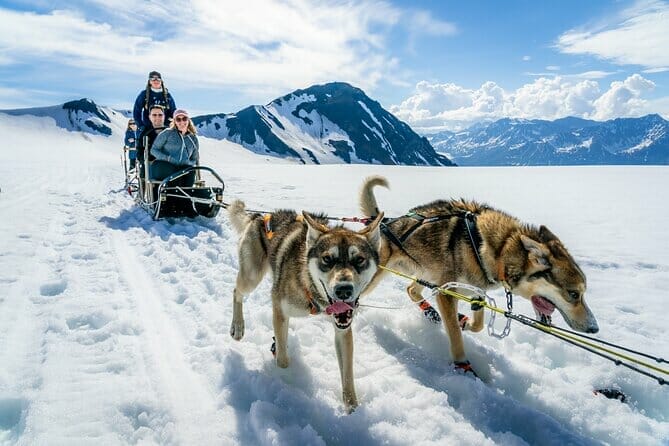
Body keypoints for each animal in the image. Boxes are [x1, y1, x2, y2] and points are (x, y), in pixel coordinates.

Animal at [226, 200, 380, 412]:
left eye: (359, 259)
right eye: (327, 259)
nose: (343, 290)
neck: (309, 287)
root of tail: (259, 216)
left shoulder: (343, 329)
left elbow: (348, 376)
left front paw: (353, 411)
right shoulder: (279, 307)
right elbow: (282, 361)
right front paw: (290, 380)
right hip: (251, 276)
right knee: (236, 292)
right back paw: (238, 326)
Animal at [358, 176, 596, 374]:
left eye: (583, 293)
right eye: (574, 294)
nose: (594, 328)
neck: (498, 249)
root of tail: (382, 224)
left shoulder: (476, 291)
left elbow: (478, 323)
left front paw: (464, 321)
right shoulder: (446, 292)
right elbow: (455, 335)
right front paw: (463, 365)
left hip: (426, 273)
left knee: (411, 289)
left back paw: (431, 312)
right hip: (378, 278)